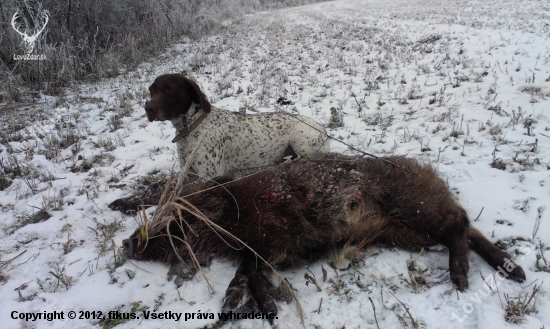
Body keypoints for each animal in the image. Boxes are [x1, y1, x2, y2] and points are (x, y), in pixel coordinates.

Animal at [110, 73, 330, 213]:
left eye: (169, 89)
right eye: (151, 90)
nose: (148, 108)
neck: (191, 129)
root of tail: (324, 130)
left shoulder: (208, 177)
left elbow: (170, 192)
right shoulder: (188, 173)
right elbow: (157, 186)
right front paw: (125, 201)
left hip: (298, 136)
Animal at [123, 154, 528, 322]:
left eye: (179, 219)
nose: (128, 243)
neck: (236, 216)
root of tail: (429, 175)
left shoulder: (277, 236)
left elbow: (251, 269)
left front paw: (259, 308)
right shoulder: (272, 247)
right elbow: (248, 270)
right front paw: (240, 305)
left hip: (414, 204)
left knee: (459, 223)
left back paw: (463, 280)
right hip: (407, 231)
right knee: (467, 229)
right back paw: (515, 271)